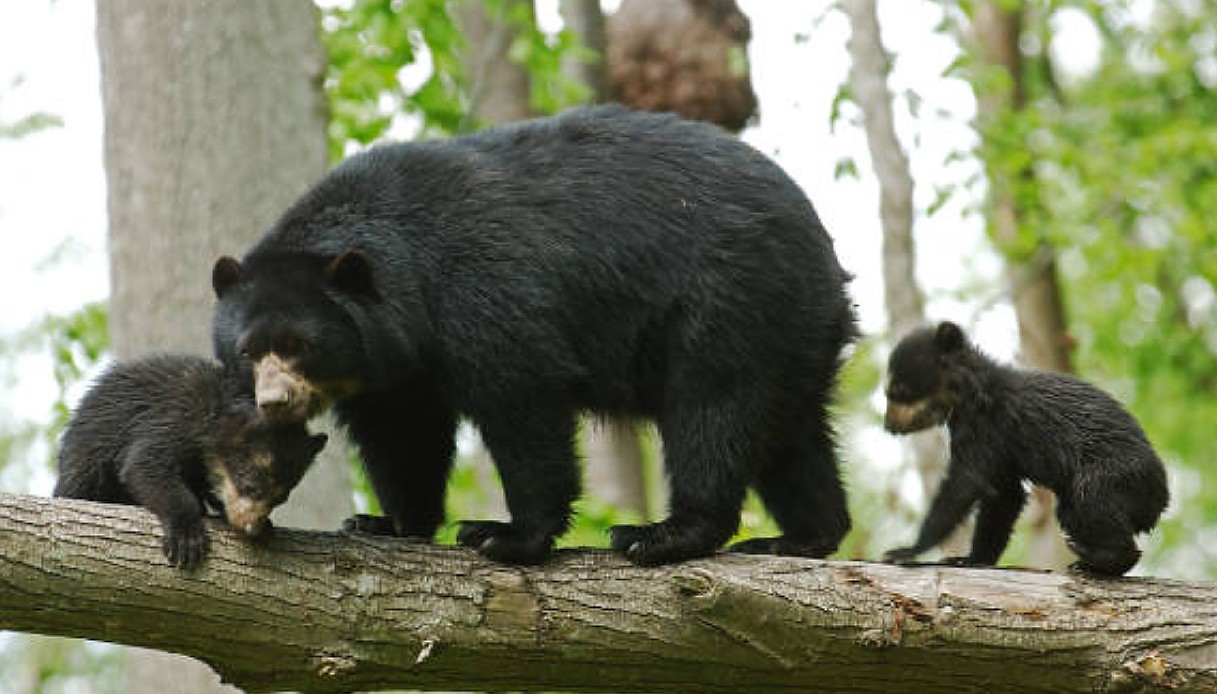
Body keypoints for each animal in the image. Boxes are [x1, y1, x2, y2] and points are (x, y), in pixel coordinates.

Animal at [55, 353, 328, 564]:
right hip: (86, 457)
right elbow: (146, 466)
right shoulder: (174, 418)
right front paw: (187, 538)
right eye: (250, 484)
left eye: (281, 498)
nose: (251, 528)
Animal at [211, 102, 856, 562]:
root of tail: (823, 246)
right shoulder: (390, 367)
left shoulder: (480, 292)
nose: (274, 402)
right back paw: (802, 536)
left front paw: (505, 535)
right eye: (248, 351)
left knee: (711, 411)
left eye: (300, 346)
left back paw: (661, 534)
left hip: (730, 302)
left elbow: (522, 403)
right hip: (791, 330)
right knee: (792, 432)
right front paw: (387, 522)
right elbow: (403, 433)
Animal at [885, 321, 1168, 574]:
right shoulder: (999, 450)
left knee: (1093, 502)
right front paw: (969, 559)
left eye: (898, 391)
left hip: (1111, 474)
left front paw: (904, 551)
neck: (969, 392)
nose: (889, 426)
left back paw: (1093, 556)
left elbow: (964, 483)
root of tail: (1161, 499)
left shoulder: (987, 427)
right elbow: (1004, 496)